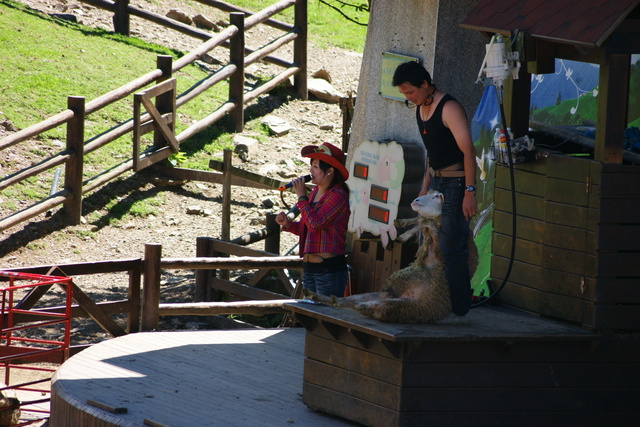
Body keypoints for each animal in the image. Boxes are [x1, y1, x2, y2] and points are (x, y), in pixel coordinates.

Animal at [304, 191, 476, 324]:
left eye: (436, 196)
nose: (416, 201)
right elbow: (423, 220)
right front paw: (402, 225)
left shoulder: (442, 243)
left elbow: (426, 221)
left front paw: (405, 233)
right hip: (383, 294)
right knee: (348, 301)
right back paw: (316, 295)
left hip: (397, 307)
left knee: (364, 306)